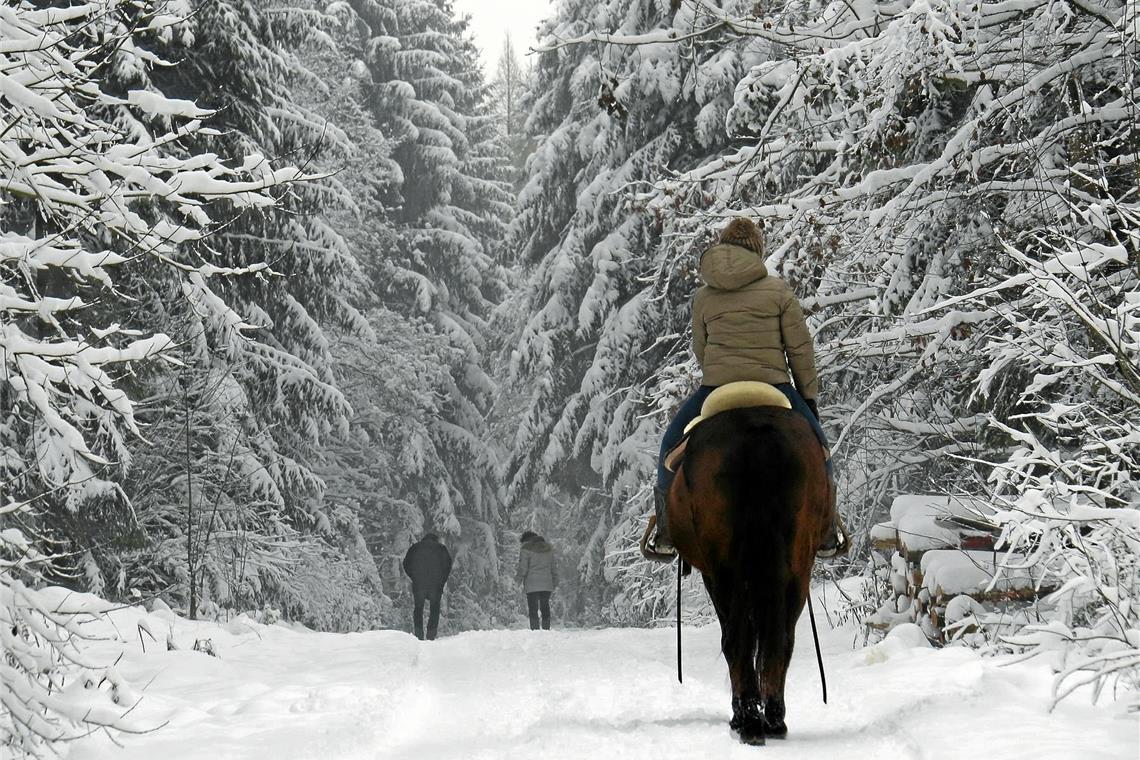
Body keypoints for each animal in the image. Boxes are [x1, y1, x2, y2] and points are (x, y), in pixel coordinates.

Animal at [665, 401, 829, 747]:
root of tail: (757, 433)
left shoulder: (714, 574)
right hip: (796, 567)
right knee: (781, 636)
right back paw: (773, 719)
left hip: (726, 570)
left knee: (735, 639)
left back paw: (748, 720)